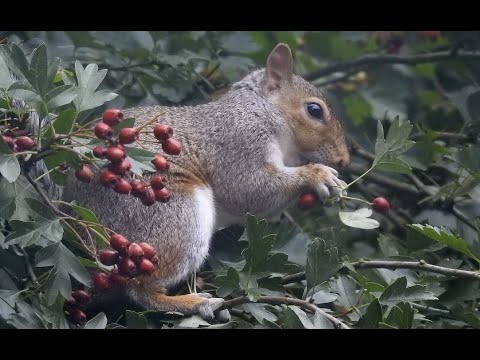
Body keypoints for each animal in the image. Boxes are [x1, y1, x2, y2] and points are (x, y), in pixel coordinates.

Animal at [62, 43, 350, 320]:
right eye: (314, 110)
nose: (344, 159)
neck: (262, 110)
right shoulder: (239, 141)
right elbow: (247, 189)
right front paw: (318, 175)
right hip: (172, 214)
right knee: (140, 291)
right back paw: (194, 303)